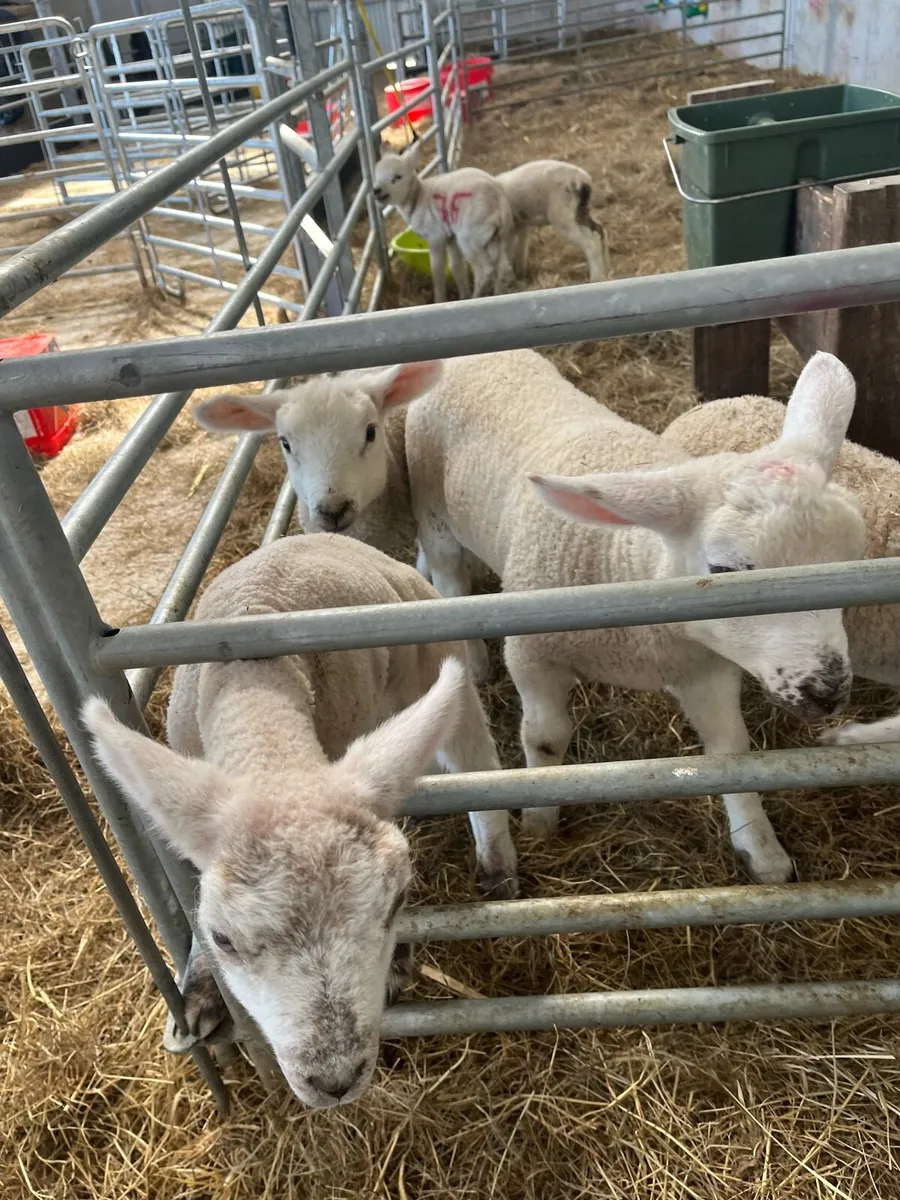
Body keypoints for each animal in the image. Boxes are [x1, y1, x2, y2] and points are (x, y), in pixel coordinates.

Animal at [81, 534, 518, 1110]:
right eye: (222, 939)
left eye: (396, 904)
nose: (334, 1081)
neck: (256, 699)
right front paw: (201, 991)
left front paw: (400, 959)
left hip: (435, 664)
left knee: (475, 755)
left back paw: (498, 865)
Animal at [196, 350, 867, 883]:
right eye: (725, 570)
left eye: (851, 557)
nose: (829, 689)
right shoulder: (535, 652)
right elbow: (545, 740)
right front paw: (542, 818)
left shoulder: (704, 666)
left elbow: (730, 752)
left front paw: (762, 849)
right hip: (438, 514)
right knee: (447, 575)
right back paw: (470, 658)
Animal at [372, 139, 515, 303]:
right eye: (375, 175)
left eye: (397, 177)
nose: (376, 190)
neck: (417, 198)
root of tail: (498, 196)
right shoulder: (450, 237)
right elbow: (456, 267)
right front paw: (463, 294)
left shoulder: (435, 236)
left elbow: (437, 271)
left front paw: (440, 300)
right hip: (496, 236)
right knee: (504, 271)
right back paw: (497, 295)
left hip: (470, 235)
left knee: (485, 271)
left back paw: (475, 298)